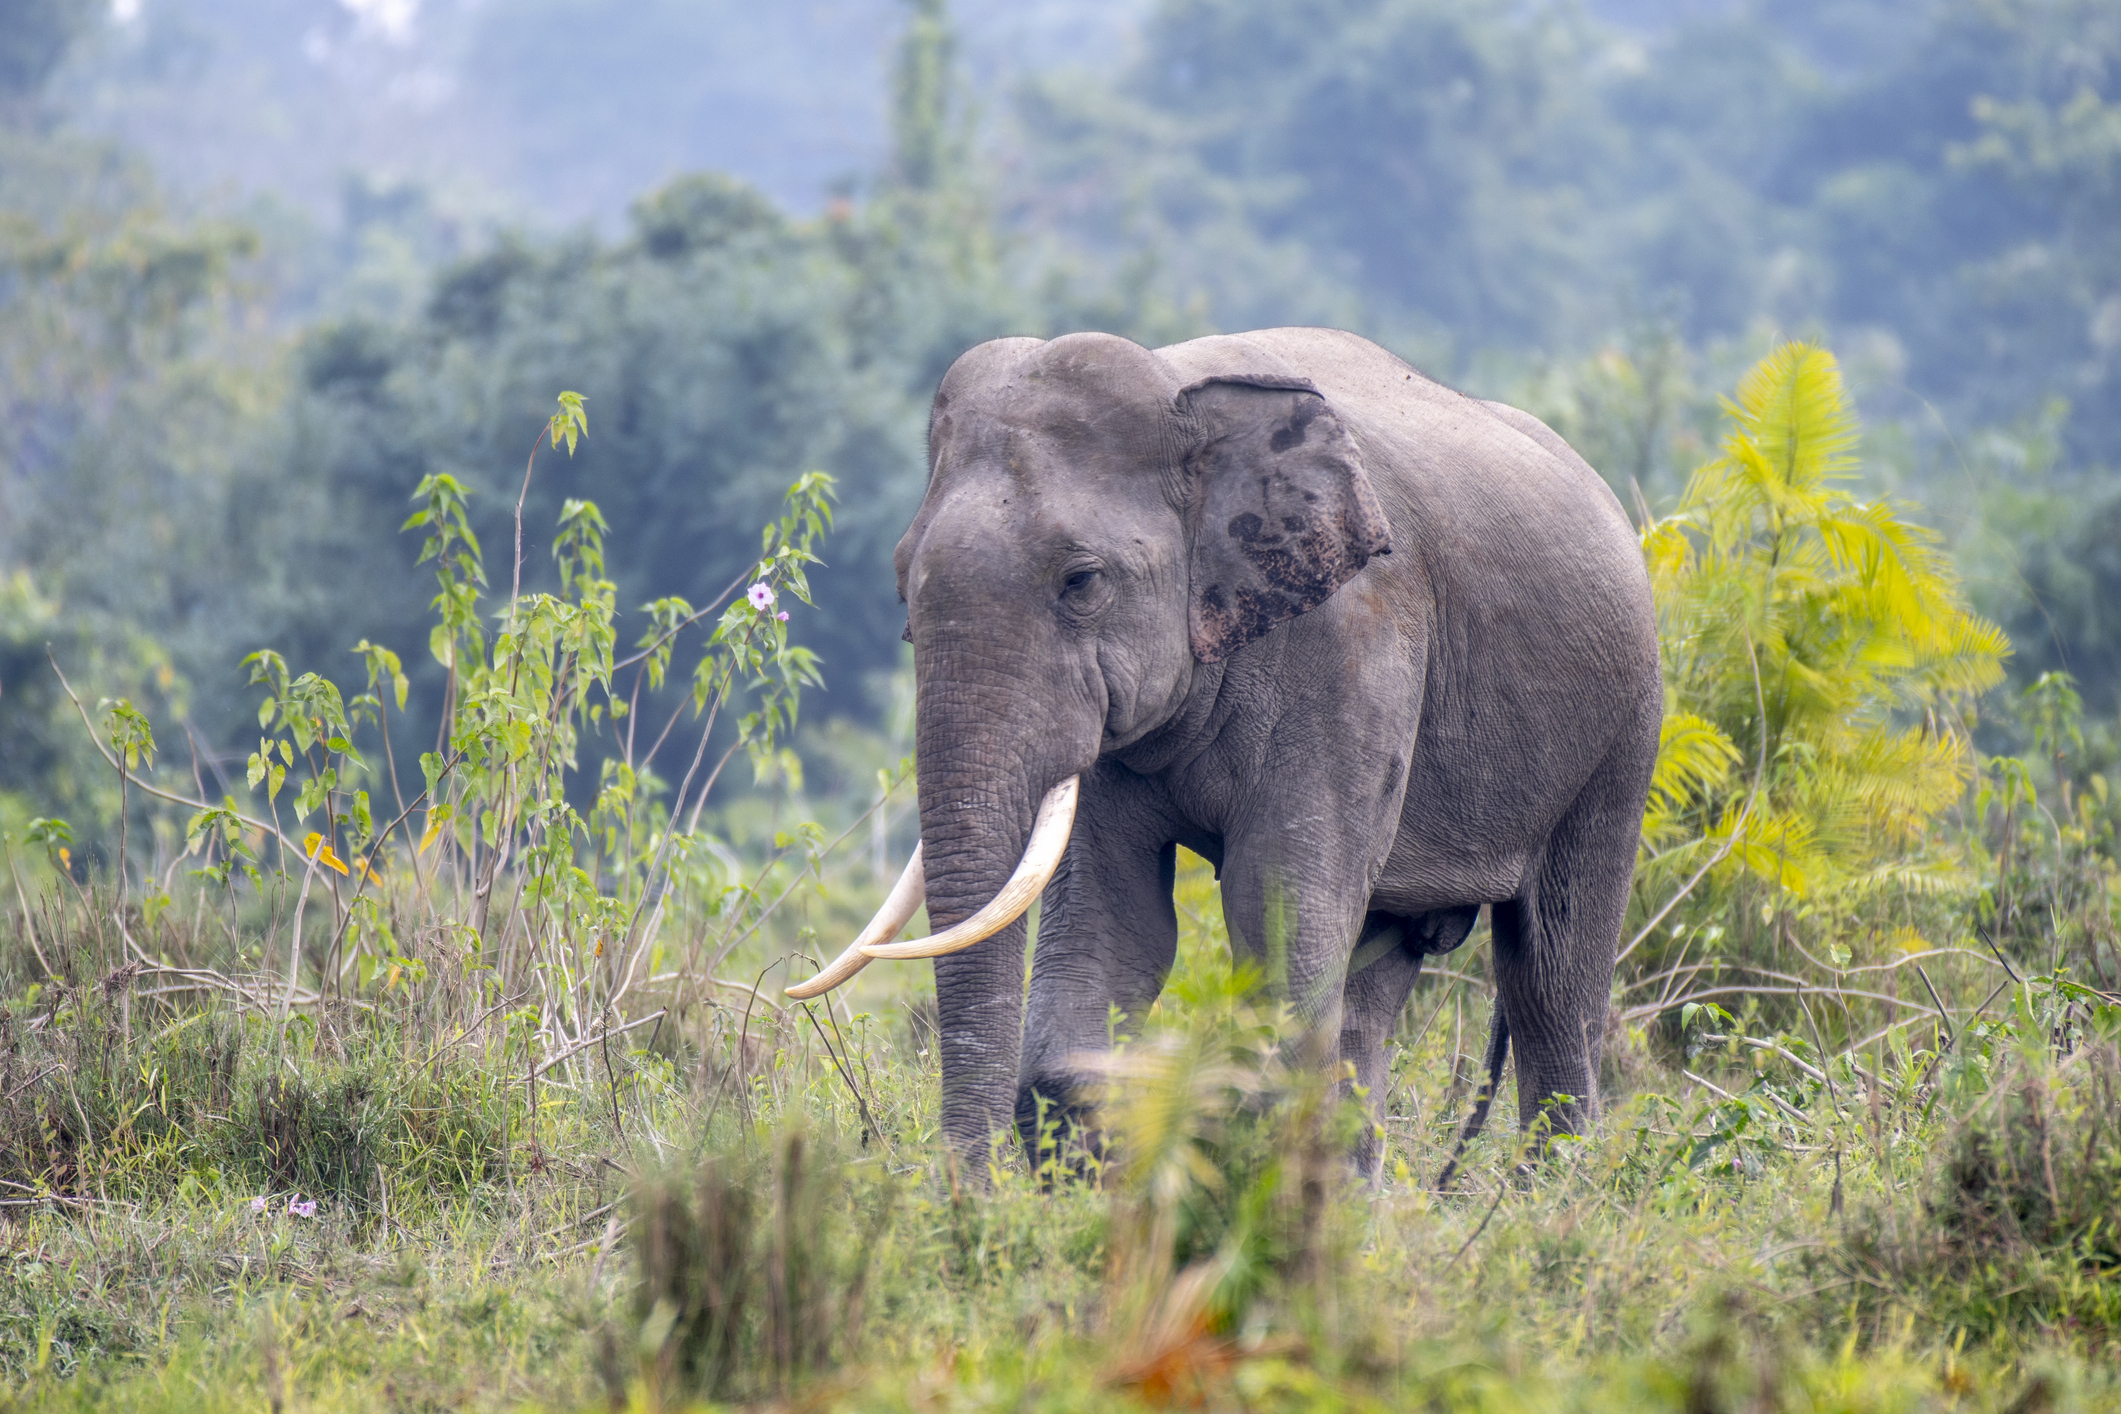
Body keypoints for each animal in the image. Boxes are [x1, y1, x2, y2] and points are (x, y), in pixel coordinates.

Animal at [788, 326, 1662, 1181]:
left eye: (1081, 580)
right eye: (901, 582)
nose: (970, 1195)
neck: (1186, 398)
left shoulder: (1353, 646)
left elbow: (1269, 889)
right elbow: (1123, 912)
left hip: (1624, 728)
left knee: (1551, 974)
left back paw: (1549, 1190)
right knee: (1377, 977)